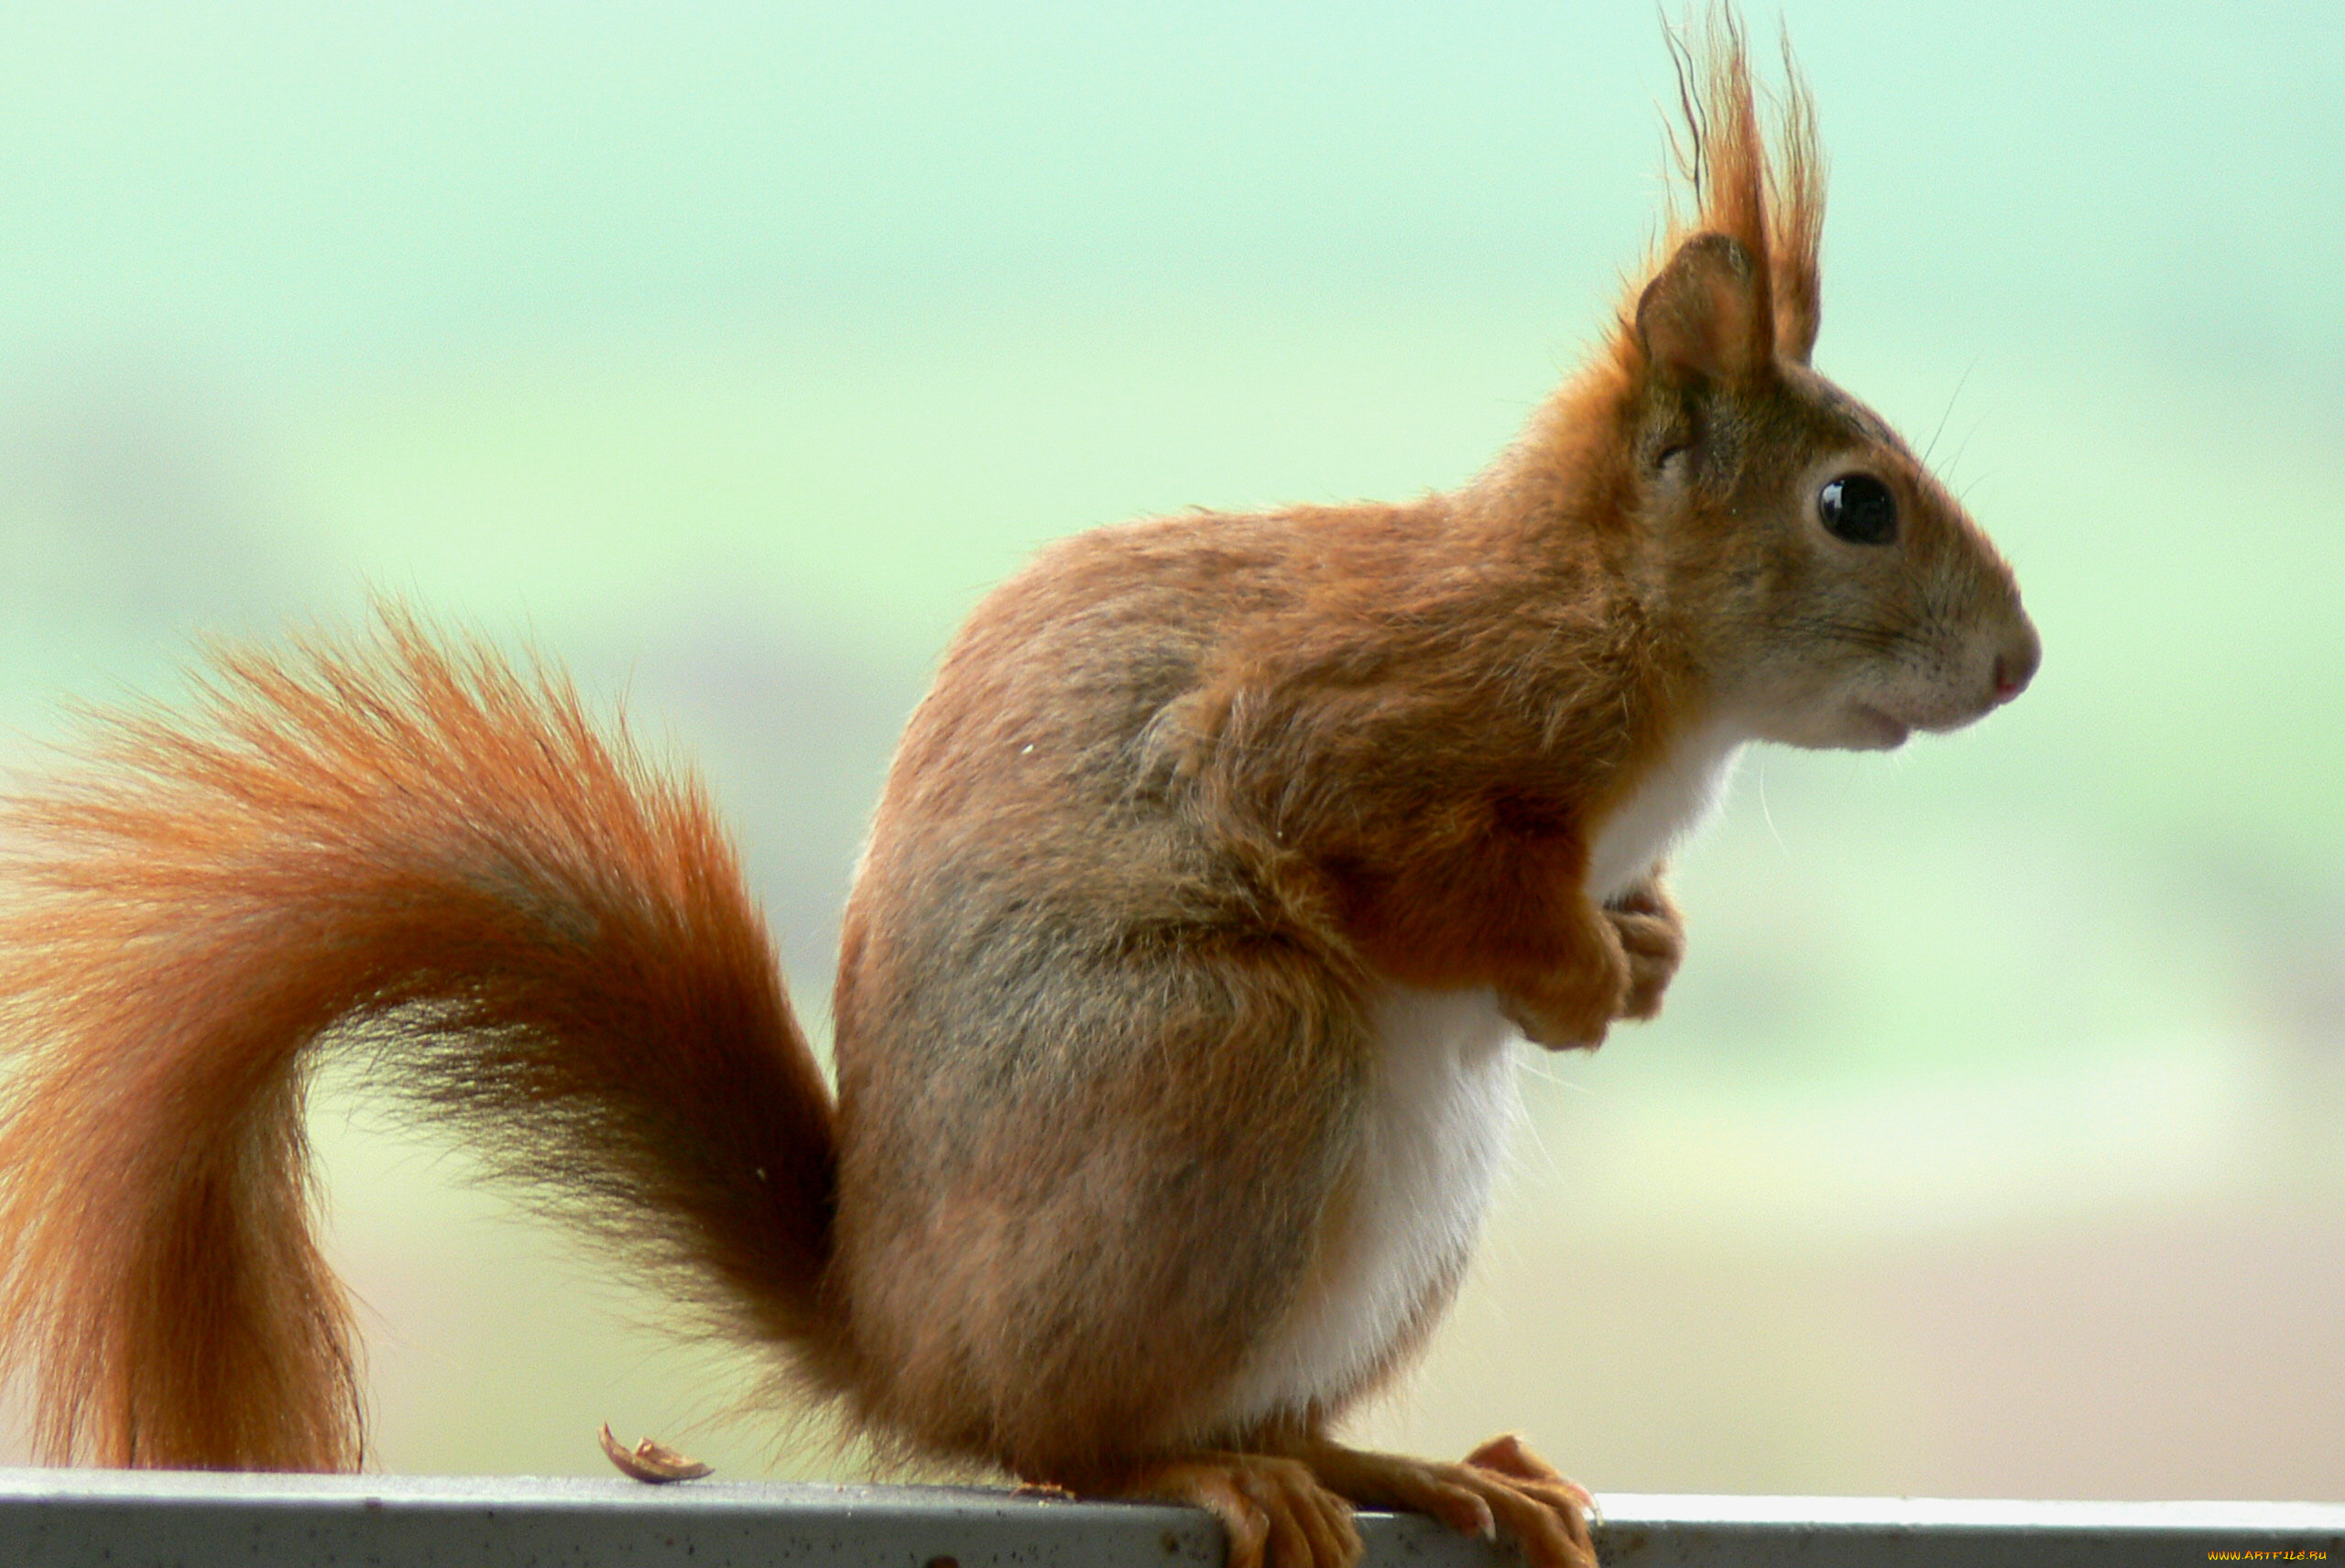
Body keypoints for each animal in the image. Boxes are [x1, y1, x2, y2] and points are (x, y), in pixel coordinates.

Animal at [0, 21, 2035, 1565]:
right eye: (1853, 506)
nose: (2018, 663)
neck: (1633, 642)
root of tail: (891, 1339)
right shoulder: (1374, 708)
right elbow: (1377, 848)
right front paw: (1572, 969)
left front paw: (1646, 947)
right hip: (1225, 1054)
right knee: (1067, 1437)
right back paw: (1205, 1467)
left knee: (1264, 1407)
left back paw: (1402, 1465)